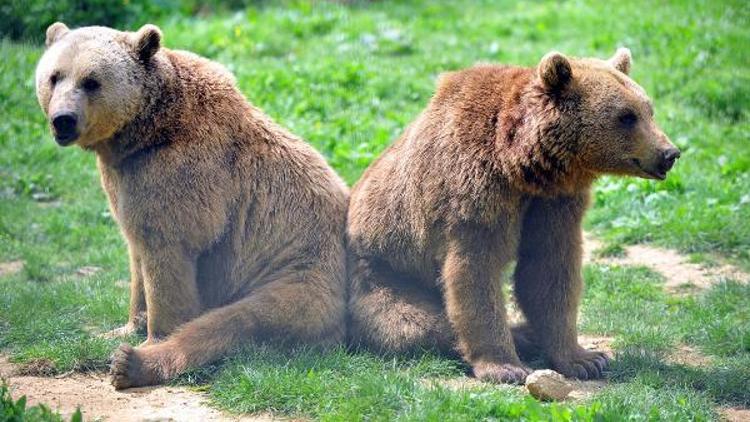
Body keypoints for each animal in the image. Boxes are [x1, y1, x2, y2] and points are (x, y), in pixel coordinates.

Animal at [36, 22, 352, 390]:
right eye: (55, 76)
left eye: (91, 81)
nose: (63, 120)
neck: (142, 135)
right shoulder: (124, 181)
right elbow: (136, 253)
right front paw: (121, 327)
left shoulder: (184, 177)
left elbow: (168, 256)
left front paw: (150, 337)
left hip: (297, 276)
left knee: (236, 321)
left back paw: (131, 364)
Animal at [346, 47, 680, 384]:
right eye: (626, 116)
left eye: (648, 109)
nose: (670, 153)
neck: (520, 165)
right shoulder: (474, 196)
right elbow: (475, 274)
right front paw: (506, 367)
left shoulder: (554, 204)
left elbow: (549, 271)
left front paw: (586, 359)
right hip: (385, 274)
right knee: (414, 323)